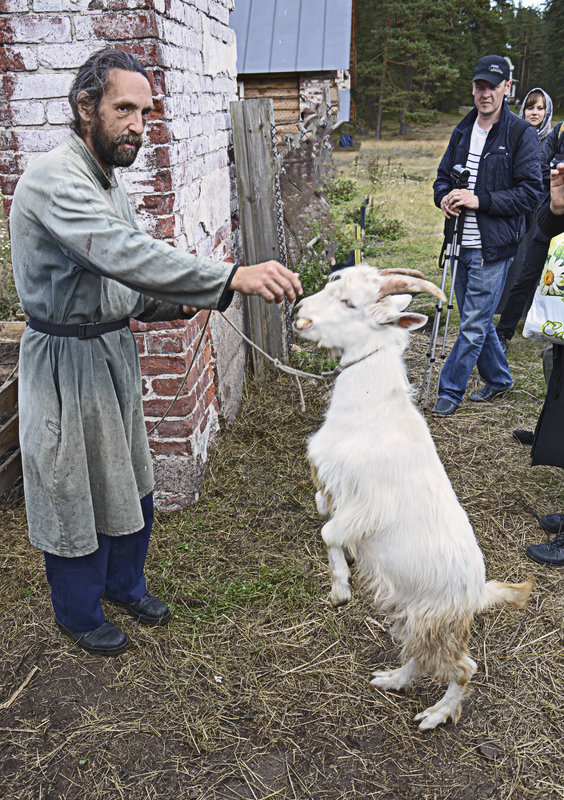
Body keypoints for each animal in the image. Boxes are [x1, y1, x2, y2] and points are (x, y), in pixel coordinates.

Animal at [294, 264, 536, 732]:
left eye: (349, 302)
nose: (299, 314)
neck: (371, 407)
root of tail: (475, 594)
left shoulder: (367, 503)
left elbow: (329, 532)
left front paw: (340, 588)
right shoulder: (336, 486)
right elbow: (323, 510)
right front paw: (345, 565)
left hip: (434, 620)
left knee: (463, 668)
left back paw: (435, 714)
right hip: (410, 610)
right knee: (418, 656)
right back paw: (393, 680)